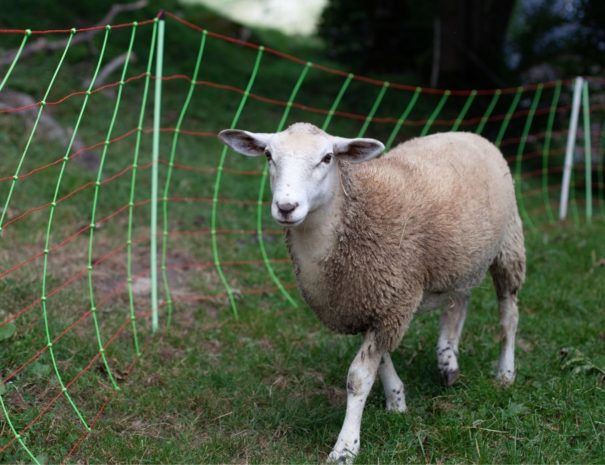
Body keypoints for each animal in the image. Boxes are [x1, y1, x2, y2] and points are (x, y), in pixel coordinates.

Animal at [217, 121, 524, 462]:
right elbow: (382, 361)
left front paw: (346, 447)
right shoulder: (373, 304)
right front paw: (397, 402)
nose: (286, 207)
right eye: (269, 155)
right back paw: (448, 361)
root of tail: (469, 134)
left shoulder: (391, 302)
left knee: (508, 317)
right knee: (459, 302)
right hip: (460, 259)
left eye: (327, 158)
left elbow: (358, 379)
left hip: (509, 244)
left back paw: (505, 374)